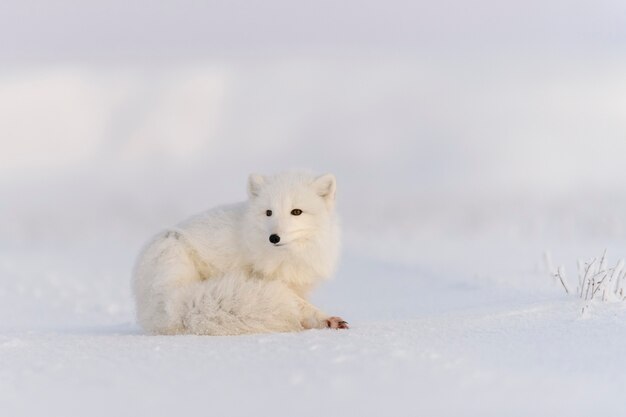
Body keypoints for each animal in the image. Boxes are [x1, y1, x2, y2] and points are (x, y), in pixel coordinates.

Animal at [132, 170, 346, 334]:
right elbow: (299, 304)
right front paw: (325, 318)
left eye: (296, 212)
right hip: (173, 247)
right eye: (268, 213)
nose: (274, 238)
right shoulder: (264, 280)